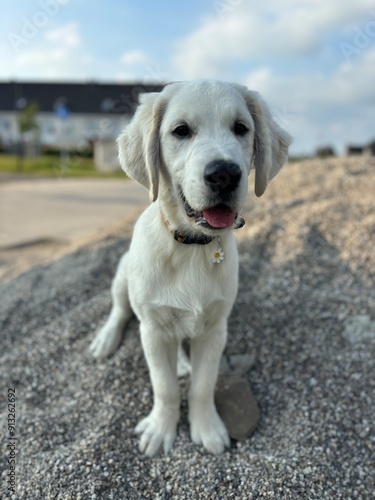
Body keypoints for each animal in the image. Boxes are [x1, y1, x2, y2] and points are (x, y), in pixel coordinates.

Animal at [89, 79, 292, 458]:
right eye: (181, 131)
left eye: (241, 128)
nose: (224, 174)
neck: (191, 246)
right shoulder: (152, 330)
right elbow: (164, 386)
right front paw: (160, 429)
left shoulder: (215, 329)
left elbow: (202, 385)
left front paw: (207, 427)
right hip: (123, 275)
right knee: (120, 309)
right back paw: (106, 339)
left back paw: (182, 363)